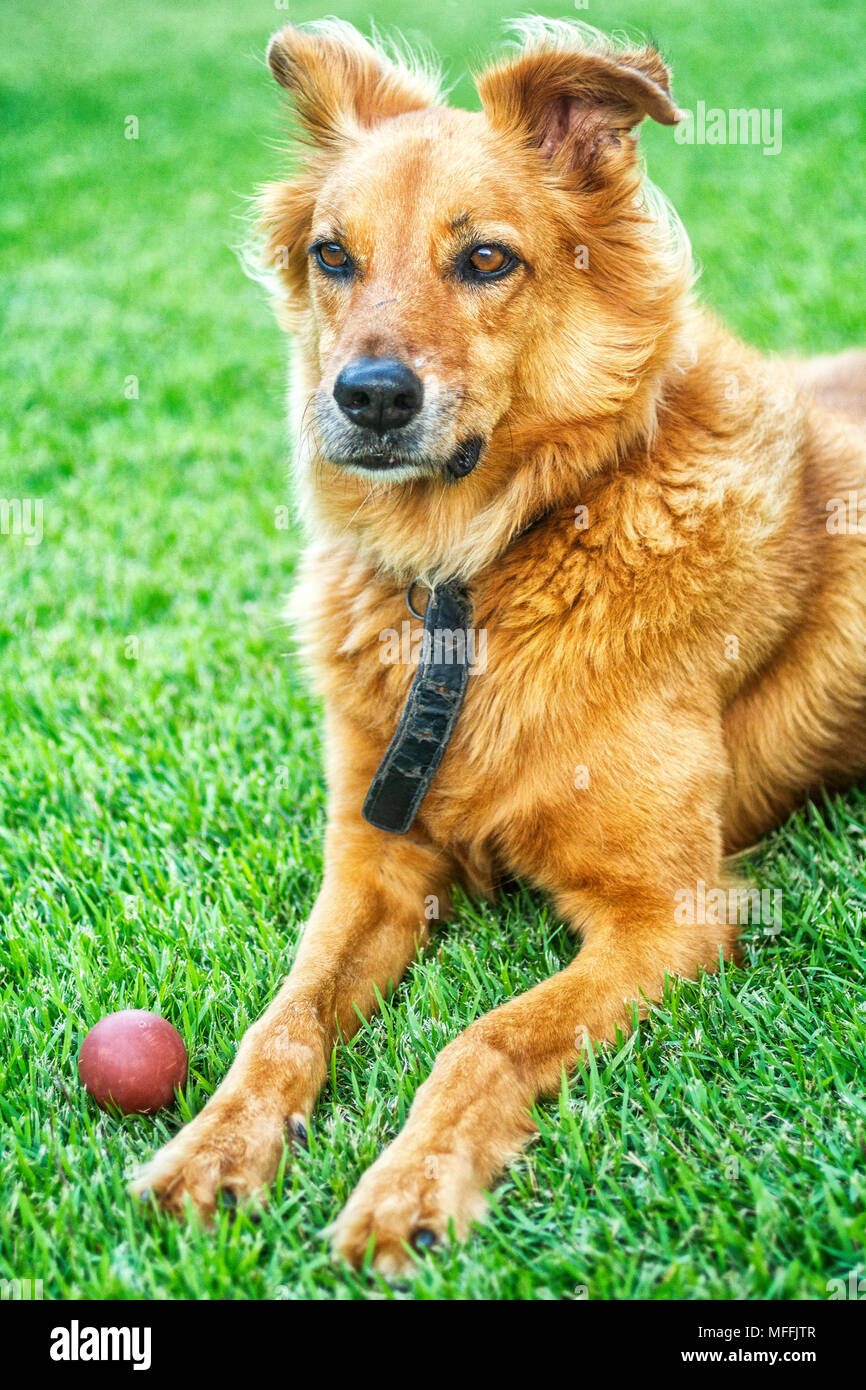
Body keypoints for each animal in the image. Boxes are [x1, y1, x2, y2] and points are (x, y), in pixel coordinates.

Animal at [128, 19, 866, 1273]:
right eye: (332, 255)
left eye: (484, 259)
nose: (367, 397)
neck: (479, 574)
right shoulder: (375, 858)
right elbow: (283, 1019)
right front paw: (214, 1148)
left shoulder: (669, 912)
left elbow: (487, 1037)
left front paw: (407, 1187)